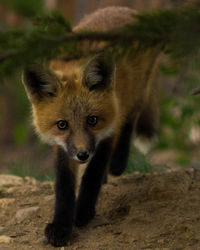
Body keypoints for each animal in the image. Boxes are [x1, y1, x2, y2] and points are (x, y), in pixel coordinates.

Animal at [21, 6, 159, 248]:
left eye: (92, 120)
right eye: (62, 125)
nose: (83, 154)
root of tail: (124, 9)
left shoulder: (108, 132)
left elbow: (92, 174)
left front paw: (83, 211)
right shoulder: (63, 148)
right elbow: (64, 188)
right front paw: (61, 226)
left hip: (138, 93)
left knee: (131, 120)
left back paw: (117, 164)